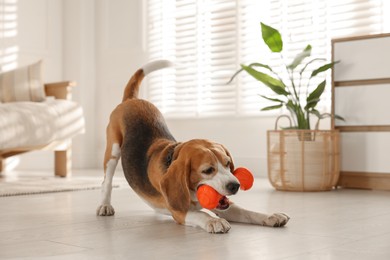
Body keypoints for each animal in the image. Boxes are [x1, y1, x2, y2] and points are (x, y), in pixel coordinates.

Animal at [95, 61, 288, 234]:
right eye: (208, 170)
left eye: (227, 163)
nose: (235, 185)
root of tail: (132, 100)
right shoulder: (180, 212)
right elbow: (201, 214)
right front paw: (214, 221)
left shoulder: (226, 205)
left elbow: (247, 212)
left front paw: (271, 216)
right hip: (113, 151)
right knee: (107, 181)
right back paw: (105, 205)